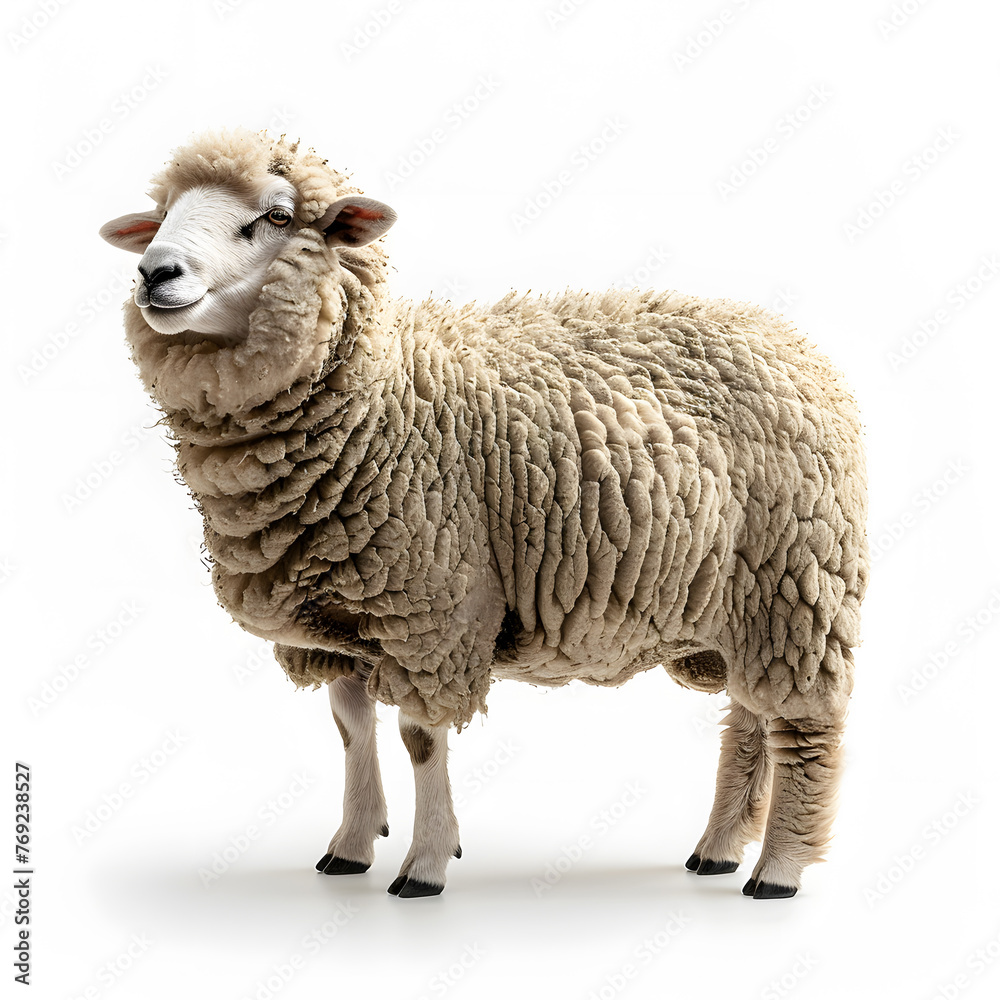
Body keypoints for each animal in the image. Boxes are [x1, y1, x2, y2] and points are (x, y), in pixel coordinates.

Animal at [100, 128, 869, 900]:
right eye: (161, 213)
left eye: (279, 217)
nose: (153, 273)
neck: (382, 394)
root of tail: (789, 340)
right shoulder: (338, 625)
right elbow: (351, 727)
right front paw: (351, 845)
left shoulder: (434, 611)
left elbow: (418, 737)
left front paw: (425, 862)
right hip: (747, 602)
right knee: (750, 719)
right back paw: (718, 847)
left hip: (798, 584)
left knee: (801, 727)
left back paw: (778, 868)